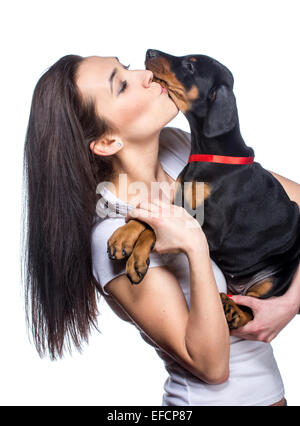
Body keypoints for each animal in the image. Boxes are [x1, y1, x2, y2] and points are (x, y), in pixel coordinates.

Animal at [107, 50, 300, 330]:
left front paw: (137, 260)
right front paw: (123, 236)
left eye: (190, 66)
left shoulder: (213, 229)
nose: (149, 52)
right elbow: (149, 217)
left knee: (253, 309)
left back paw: (233, 311)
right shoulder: (178, 203)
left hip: (279, 274)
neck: (207, 155)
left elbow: (154, 229)